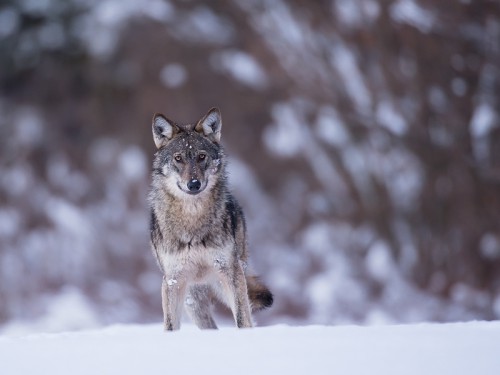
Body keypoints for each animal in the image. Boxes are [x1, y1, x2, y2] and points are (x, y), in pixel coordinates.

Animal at [148, 107, 274, 330]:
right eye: (178, 158)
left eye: (201, 156)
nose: (194, 184)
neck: (192, 218)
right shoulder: (172, 280)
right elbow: (170, 326)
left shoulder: (230, 272)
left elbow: (242, 319)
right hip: (193, 301)